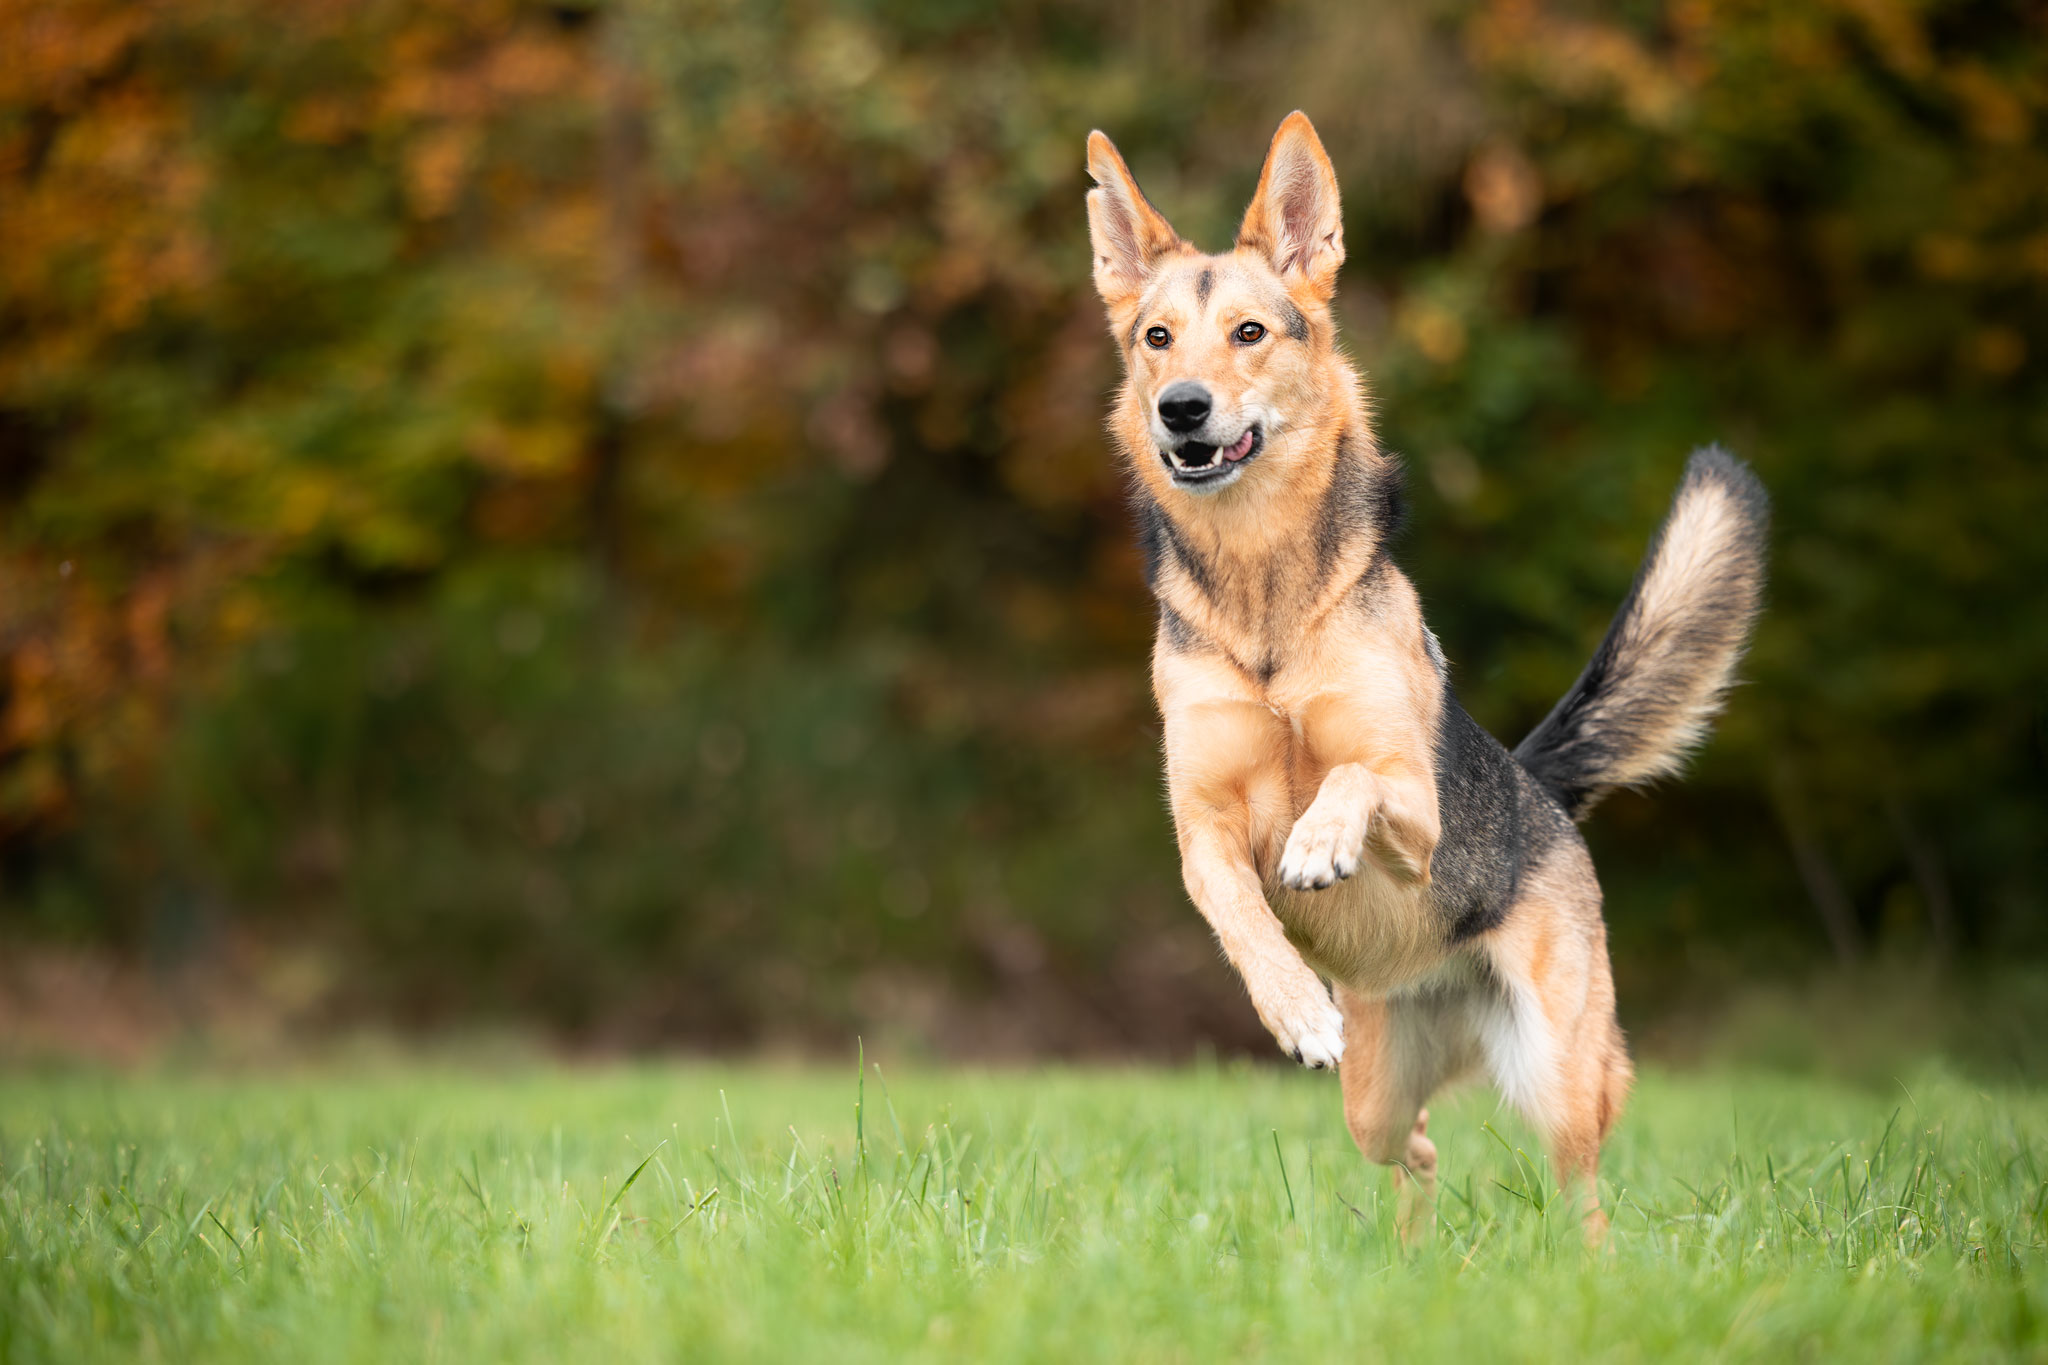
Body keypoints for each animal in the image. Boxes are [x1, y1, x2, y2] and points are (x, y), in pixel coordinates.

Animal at [1081, 112, 1769, 1236]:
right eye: (1156, 338)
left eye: (1248, 333)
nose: (1180, 409)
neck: (1267, 604)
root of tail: (1539, 786)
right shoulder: (1202, 831)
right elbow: (1238, 913)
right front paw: (1291, 1007)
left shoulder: (1410, 799)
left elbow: (1351, 779)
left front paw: (1318, 842)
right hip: (1374, 1092)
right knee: (1418, 1147)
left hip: (1559, 1071)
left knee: (1582, 1186)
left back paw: (1582, 1264)